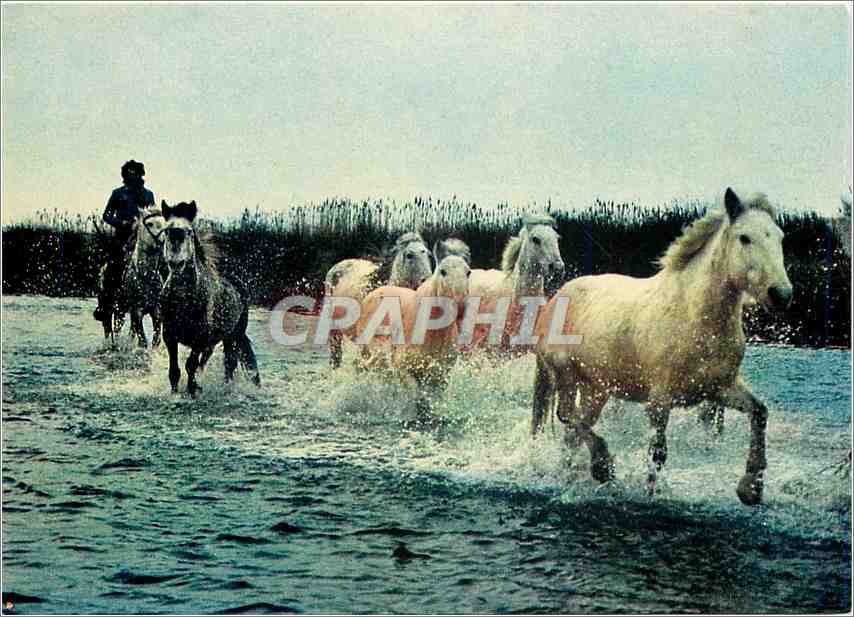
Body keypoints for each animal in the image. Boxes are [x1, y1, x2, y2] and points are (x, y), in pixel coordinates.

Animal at [159, 200, 260, 397]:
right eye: (166, 231)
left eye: (189, 232)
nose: (176, 263)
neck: (183, 299)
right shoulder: (169, 336)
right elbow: (175, 370)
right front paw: (176, 392)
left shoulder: (199, 339)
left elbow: (190, 365)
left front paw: (192, 391)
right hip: (215, 341)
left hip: (233, 336)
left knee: (229, 362)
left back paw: (226, 387)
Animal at [354, 244, 471, 424]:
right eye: (442, 271)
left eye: (468, 272)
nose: (461, 307)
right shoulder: (404, 370)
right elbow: (417, 396)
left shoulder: (440, 376)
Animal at [532, 188, 793, 506]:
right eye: (744, 237)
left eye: (780, 237)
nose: (781, 294)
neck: (693, 316)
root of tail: (555, 299)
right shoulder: (659, 401)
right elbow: (657, 453)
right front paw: (651, 495)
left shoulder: (719, 389)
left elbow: (760, 412)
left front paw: (751, 488)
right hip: (565, 374)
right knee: (567, 416)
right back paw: (603, 467)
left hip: (596, 389)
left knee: (573, 431)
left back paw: (570, 477)